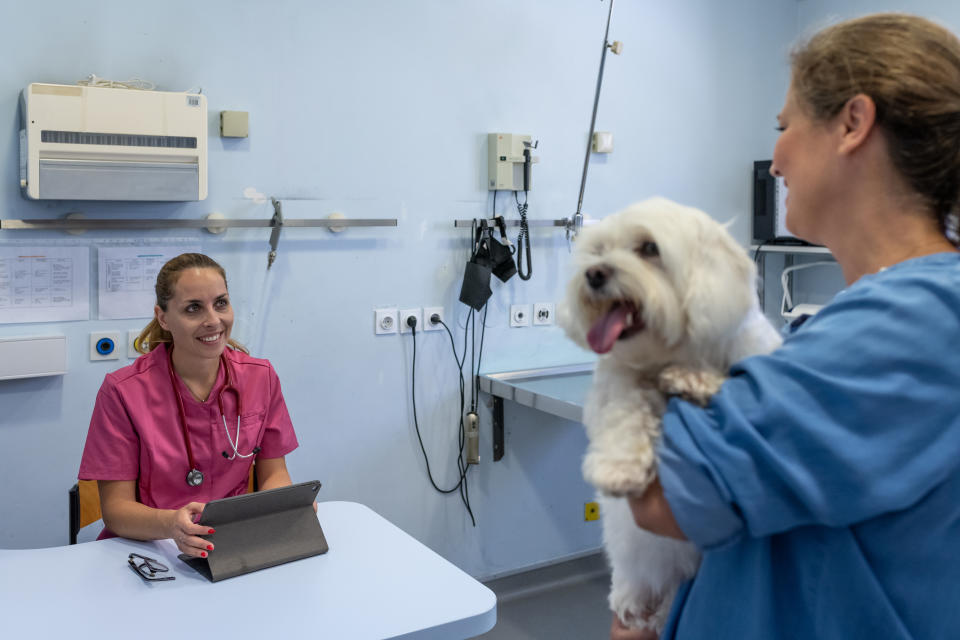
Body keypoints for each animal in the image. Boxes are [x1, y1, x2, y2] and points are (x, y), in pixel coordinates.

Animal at [560, 198, 776, 632]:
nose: (594, 273)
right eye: (599, 250)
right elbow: (624, 414)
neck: (669, 355)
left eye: (649, 248)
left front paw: (696, 381)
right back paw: (633, 600)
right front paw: (618, 467)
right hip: (634, 547)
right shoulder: (619, 382)